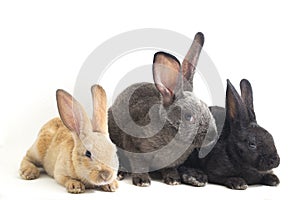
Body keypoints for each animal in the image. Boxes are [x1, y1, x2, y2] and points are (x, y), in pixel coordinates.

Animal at [108, 32, 218, 187]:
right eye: (188, 117)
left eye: (206, 108)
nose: (214, 135)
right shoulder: (133, 146)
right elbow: (139, 164)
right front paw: (142, 181)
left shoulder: (171, 163)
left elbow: (169, 168)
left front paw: (173, 179)